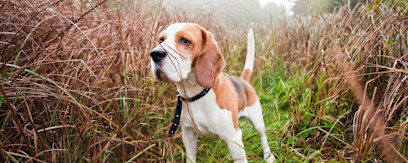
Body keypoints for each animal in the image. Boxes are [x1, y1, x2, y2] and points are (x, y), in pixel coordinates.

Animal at [149, 23, 274, 163]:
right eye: (161, 40)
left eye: (185, 40)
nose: (154, 54)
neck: (196, 95)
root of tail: (243, 81)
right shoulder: (188, 134)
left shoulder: (234, 137)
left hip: (257, 121)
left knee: (262, 137)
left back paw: (268, 156)